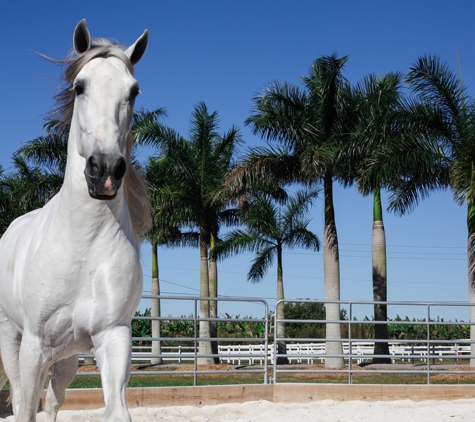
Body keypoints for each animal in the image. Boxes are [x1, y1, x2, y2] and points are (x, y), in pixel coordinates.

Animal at [0, 20, 151, 422]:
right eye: (80, 86)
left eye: (133, 91)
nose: (105, 172)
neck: (83, 246)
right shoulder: (34, 346)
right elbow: (25, 409)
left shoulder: (113, 337)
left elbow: (116, 411)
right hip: (11, 339)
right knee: (20, 399)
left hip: (67, 358)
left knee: (54, 402)